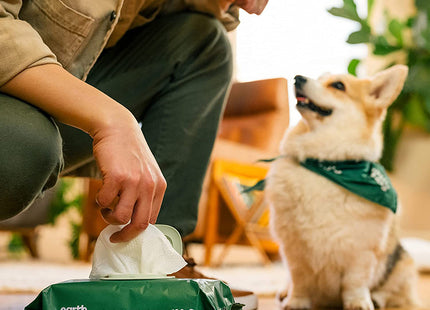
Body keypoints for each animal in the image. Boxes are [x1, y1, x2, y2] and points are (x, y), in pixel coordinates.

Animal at [268, 66, 418, 310]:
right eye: (319, 78)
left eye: (338, 85)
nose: (297, 78)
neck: (328, 164)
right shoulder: (294, 249)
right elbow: (299, 279)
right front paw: (296, 301)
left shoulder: (361, 251)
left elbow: (355, 282)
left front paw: (359, 302)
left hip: (402, 264)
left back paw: (377, 298)